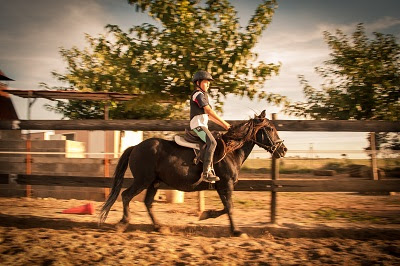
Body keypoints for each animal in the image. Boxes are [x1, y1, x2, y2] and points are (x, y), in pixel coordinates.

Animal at [100, 110, 288, 237]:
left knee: (148, 203)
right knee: (126, 195)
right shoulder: (225, 184)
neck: (230, 151)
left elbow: (226, 208)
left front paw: (207, 215)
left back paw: (159, 227)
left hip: (153, 182)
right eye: (270, 129)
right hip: (143, 180)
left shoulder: (221, 187)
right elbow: (230, 207)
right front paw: (236, 231)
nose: (283, 150)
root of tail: (135, 147)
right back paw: (123, 223)